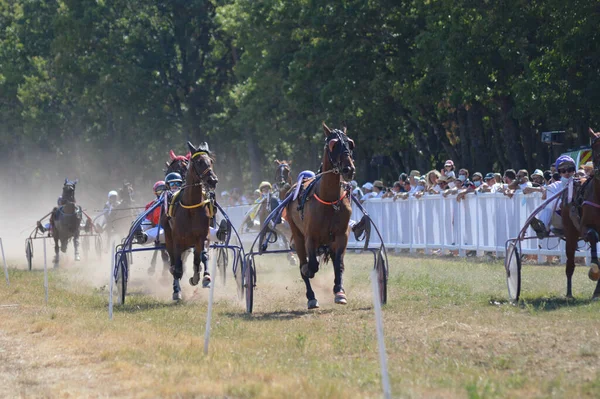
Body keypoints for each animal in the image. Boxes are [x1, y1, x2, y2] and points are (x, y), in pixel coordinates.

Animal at [162, 142, 218, 302]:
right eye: (198, 162)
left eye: (211, 161)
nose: (212, 180)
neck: (191, 207)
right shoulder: (177, 240)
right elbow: (177, 266)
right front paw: (176, 291)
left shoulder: (203, 236)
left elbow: (202, 256)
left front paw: (204, 277)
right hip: (169, 238)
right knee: (174, 262)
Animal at [284, 123, 354, 310]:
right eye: (333, 144)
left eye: (350, 143)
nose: (348, 169)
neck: (329, 201)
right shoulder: (310, 237)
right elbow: (311, 266)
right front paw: (307, 270)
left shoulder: (341, 235)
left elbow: (339, 264)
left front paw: (339, 291)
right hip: (298, 234)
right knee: (304, 263)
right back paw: (311, 296)